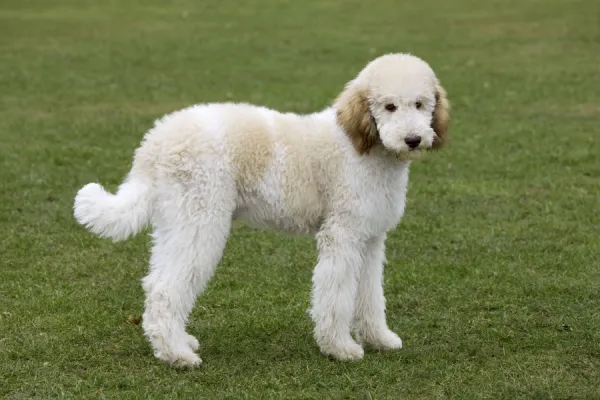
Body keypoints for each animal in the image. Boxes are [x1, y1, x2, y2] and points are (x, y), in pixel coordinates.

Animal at [72, 53, 450, 368]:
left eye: (420, 104)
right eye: (389, 106)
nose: (413, 140)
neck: (362, 146)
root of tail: (156, 140)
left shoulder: (369, 239)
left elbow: (370, 294)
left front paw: (379, 339)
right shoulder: (341, 236)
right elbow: (336, 296)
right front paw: (339, 348)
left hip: (177, 222)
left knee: (156, 284)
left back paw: (178, 342)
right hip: (200, 221)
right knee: (167, 289)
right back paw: (177, 355)